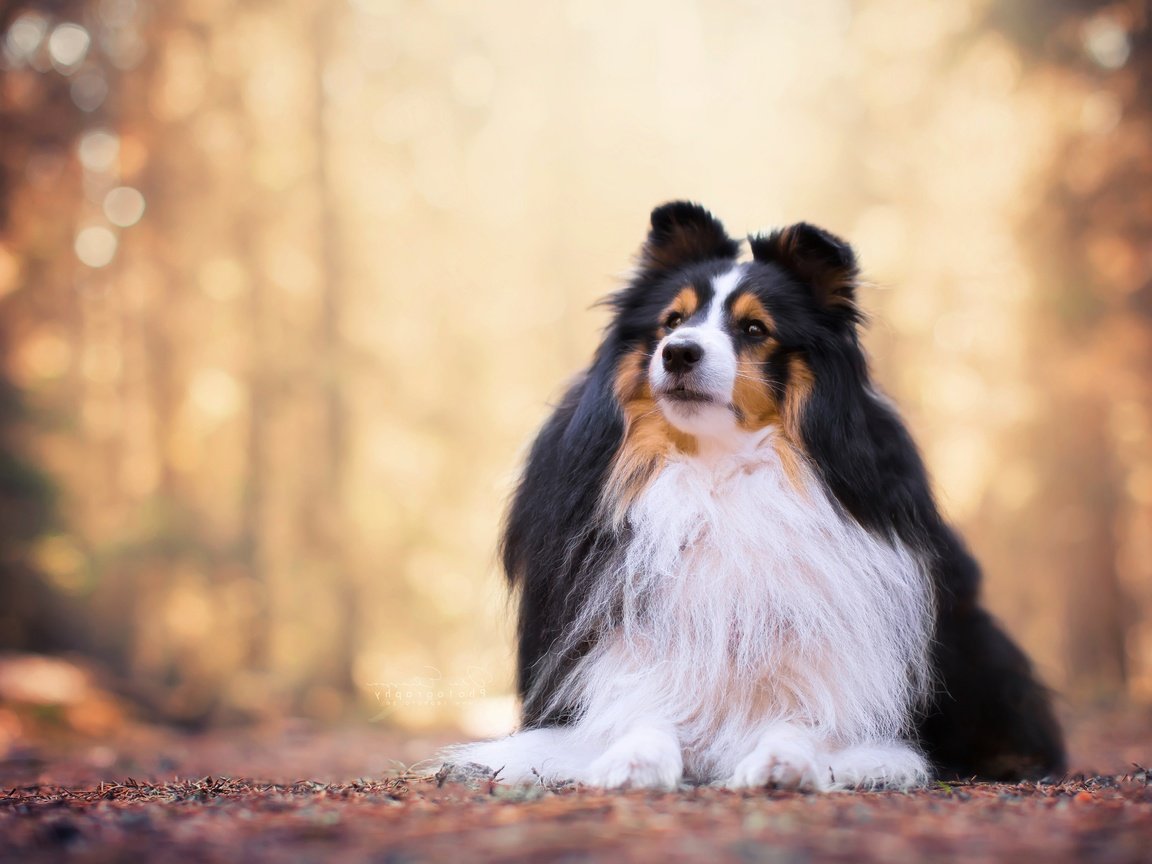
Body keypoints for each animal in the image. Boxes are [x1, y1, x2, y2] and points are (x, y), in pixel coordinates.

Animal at [444, 202, 1064, 792]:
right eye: (672, 320)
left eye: (754, 329)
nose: (678, 353)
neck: (718, 469)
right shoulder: (625, 652)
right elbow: (643, 712)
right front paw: (633, 762)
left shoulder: (830, 665)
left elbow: (806, 722)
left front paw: (781, 762)